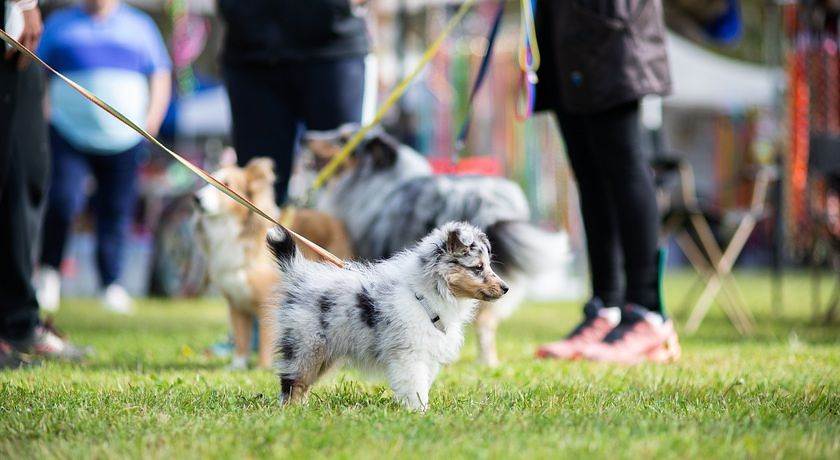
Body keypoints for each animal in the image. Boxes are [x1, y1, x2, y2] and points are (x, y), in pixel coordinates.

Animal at [195, 158, 352, 370]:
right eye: (208, 180)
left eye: (227, 184)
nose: (196, 199)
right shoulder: (236, 302)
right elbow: (241, 337)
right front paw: (237, 366)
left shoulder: (267, 301)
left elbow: (264, 339)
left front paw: (262, 368)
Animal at [266, 221, 508, 412]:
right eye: (478, 267)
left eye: (487, 265)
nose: (506, 288)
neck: (425, 294)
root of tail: (298, 275)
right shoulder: (410, 355)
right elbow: (415, 385)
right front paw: (419, 412)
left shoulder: (427, 354)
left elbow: (423, 384)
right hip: (308, 346)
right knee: (293, 382)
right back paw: (292, 411)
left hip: (324, 353)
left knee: (302, 384)